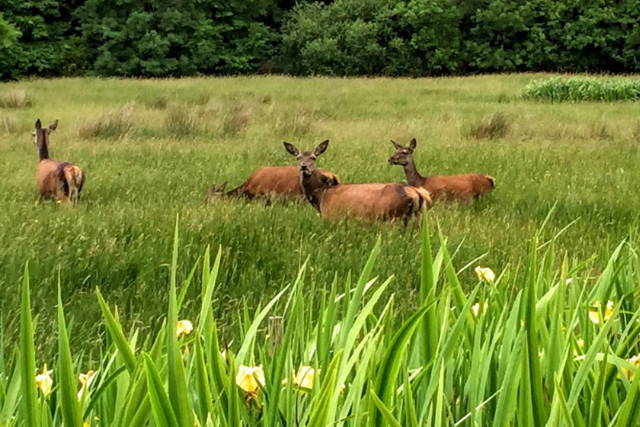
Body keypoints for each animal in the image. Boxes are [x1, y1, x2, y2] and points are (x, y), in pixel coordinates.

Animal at [284, 140, 430, 222]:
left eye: (314, 158)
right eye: (298, 157)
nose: (304, 167)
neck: (321, 197)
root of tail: (417, 194)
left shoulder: (332, 217)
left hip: (392, 218)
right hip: (418, 219)